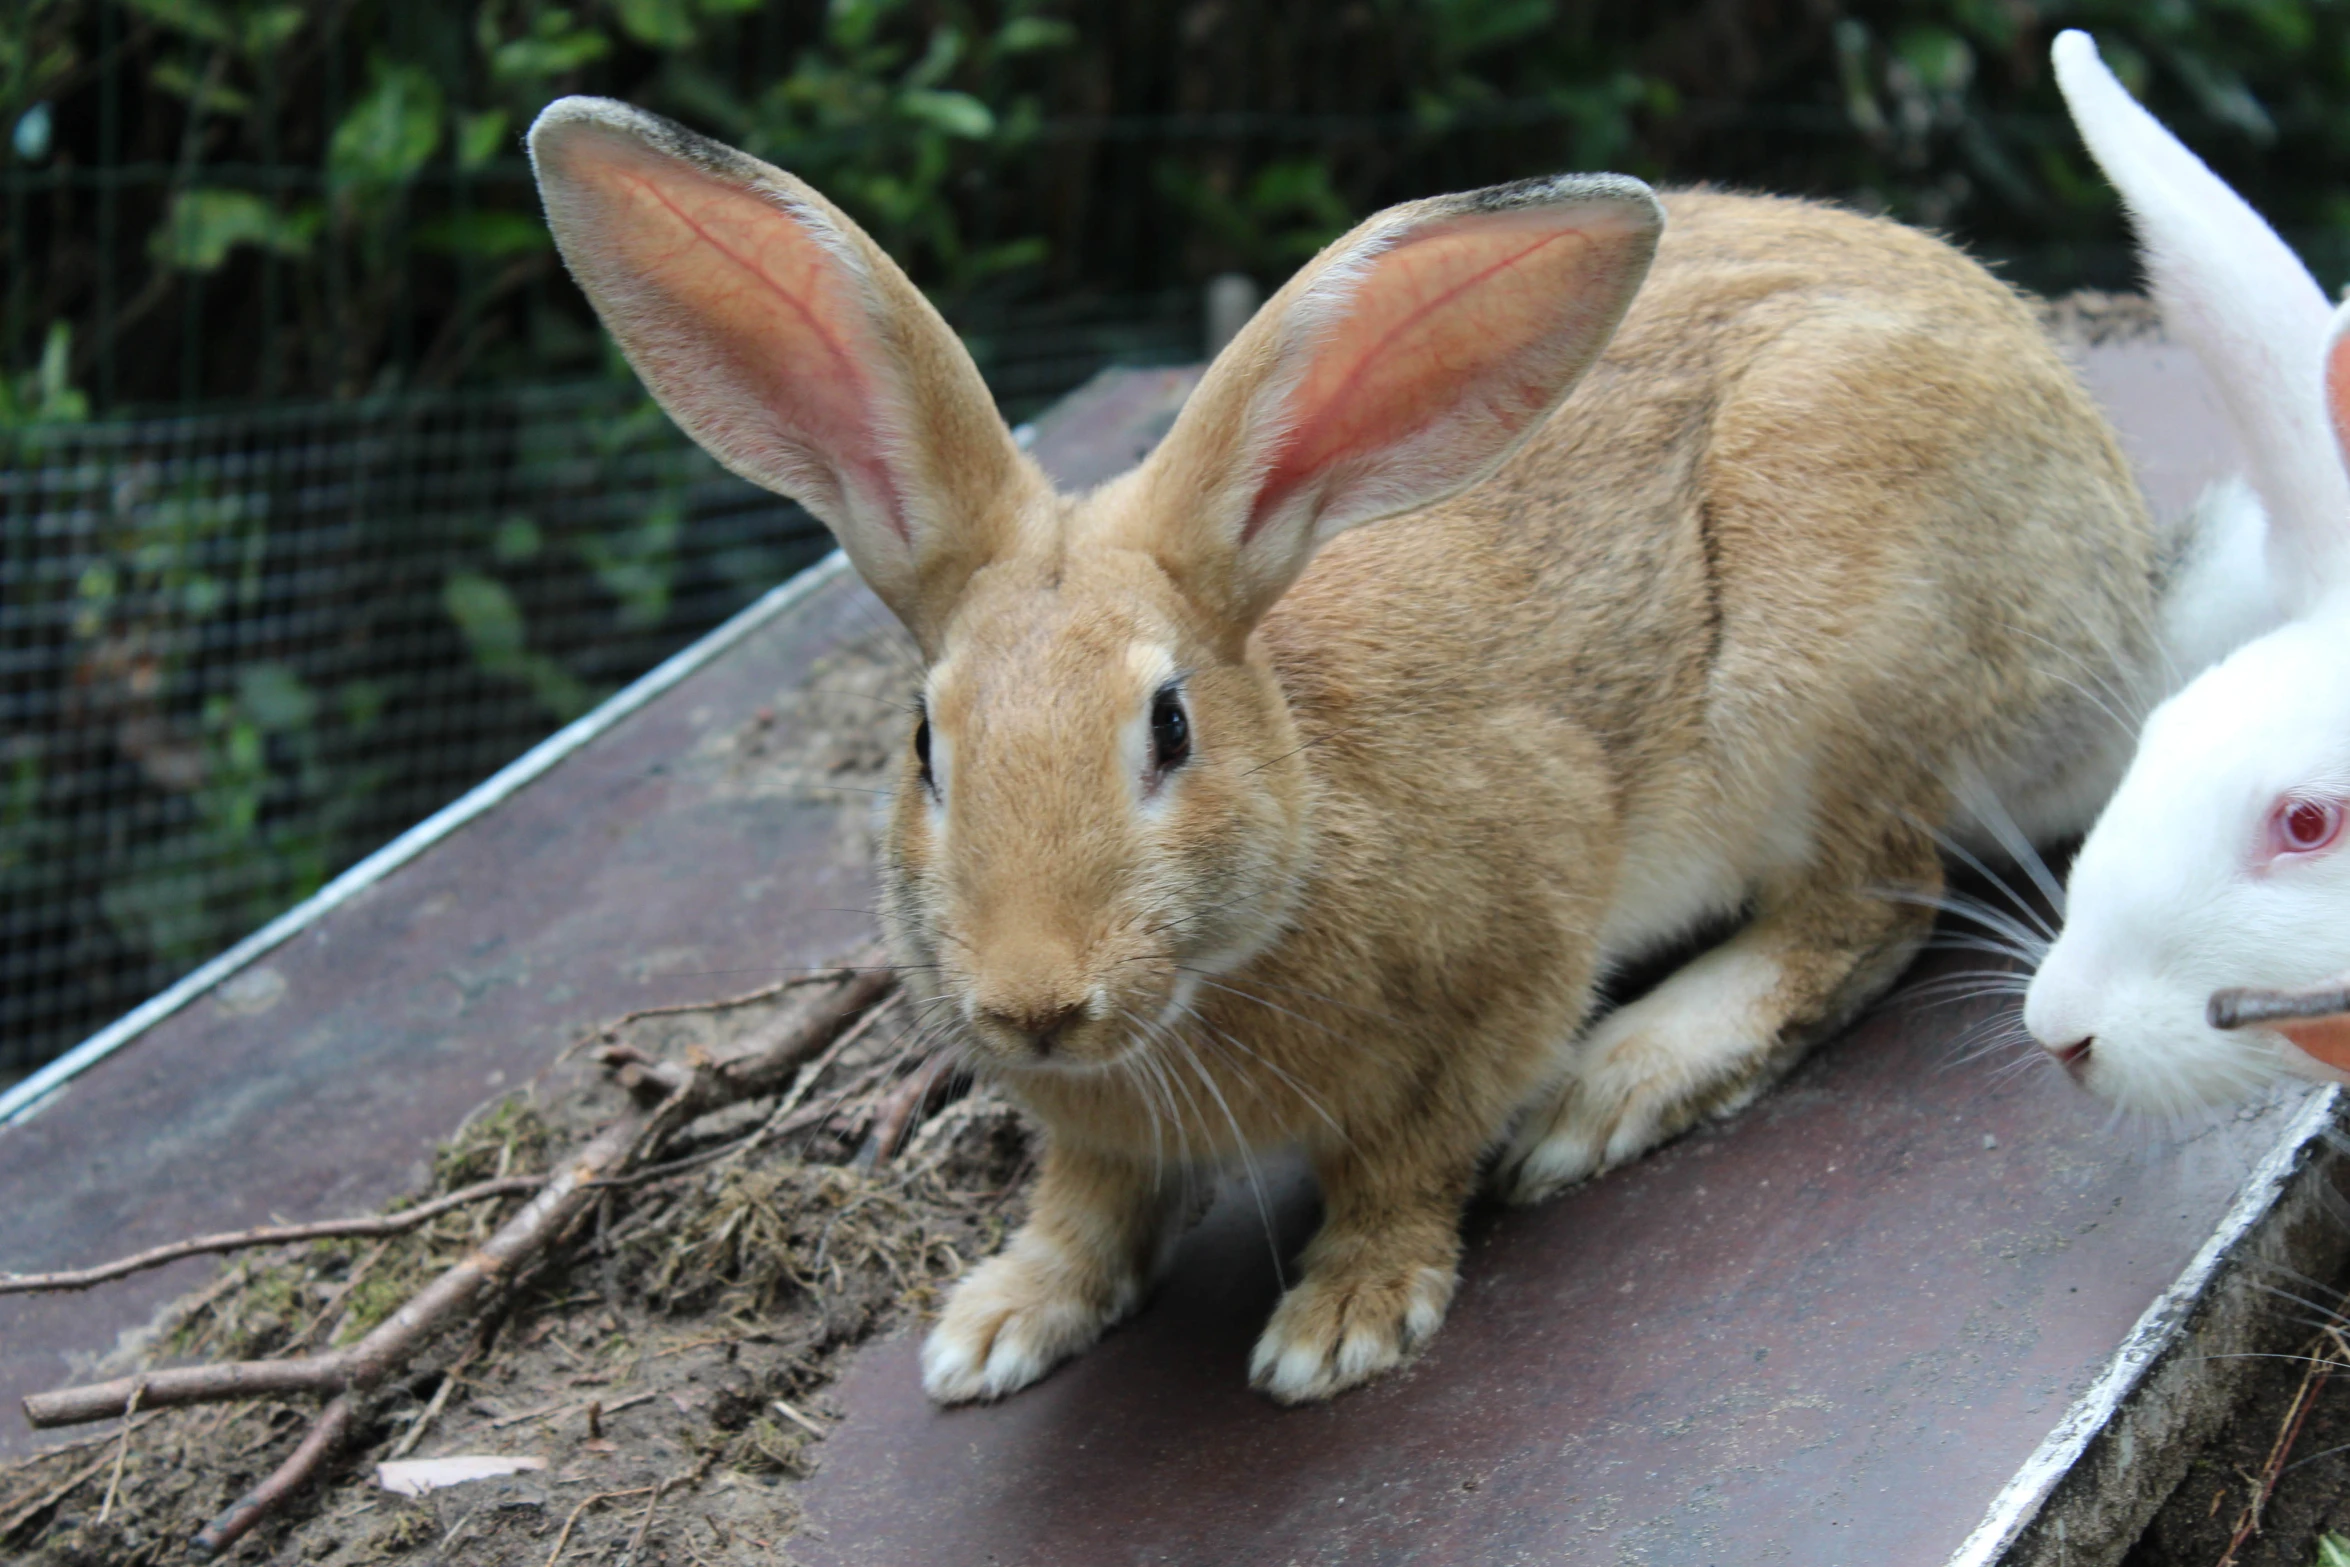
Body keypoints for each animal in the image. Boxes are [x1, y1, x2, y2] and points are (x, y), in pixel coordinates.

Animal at [533, 98, 2162, 1400]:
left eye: (1169, 725)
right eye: (925, 743)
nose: (1034, 1001)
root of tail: (2121, 575)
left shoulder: (1513, 945)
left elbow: (1407, 1159)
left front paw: (1342, 1324)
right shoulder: (1092, 1137)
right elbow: (1087, 1201)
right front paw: (996, 1327)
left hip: (1835, 661)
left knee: (1866, 909)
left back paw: (1613, 1084)